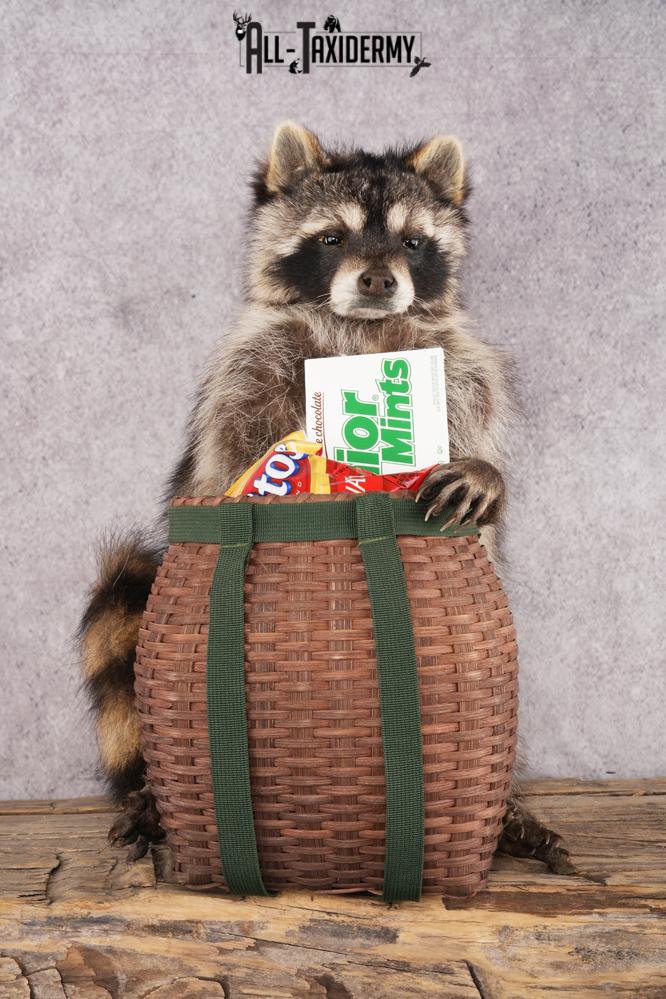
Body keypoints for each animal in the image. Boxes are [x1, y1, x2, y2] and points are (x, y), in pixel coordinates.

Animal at [79, 122, 575, 875]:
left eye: (411, 242)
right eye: (333, 239)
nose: (379, 279)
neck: (360, 332)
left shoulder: (461, 370)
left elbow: (474, 431)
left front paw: (484, 473)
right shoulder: (247, 373)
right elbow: (234, 456)